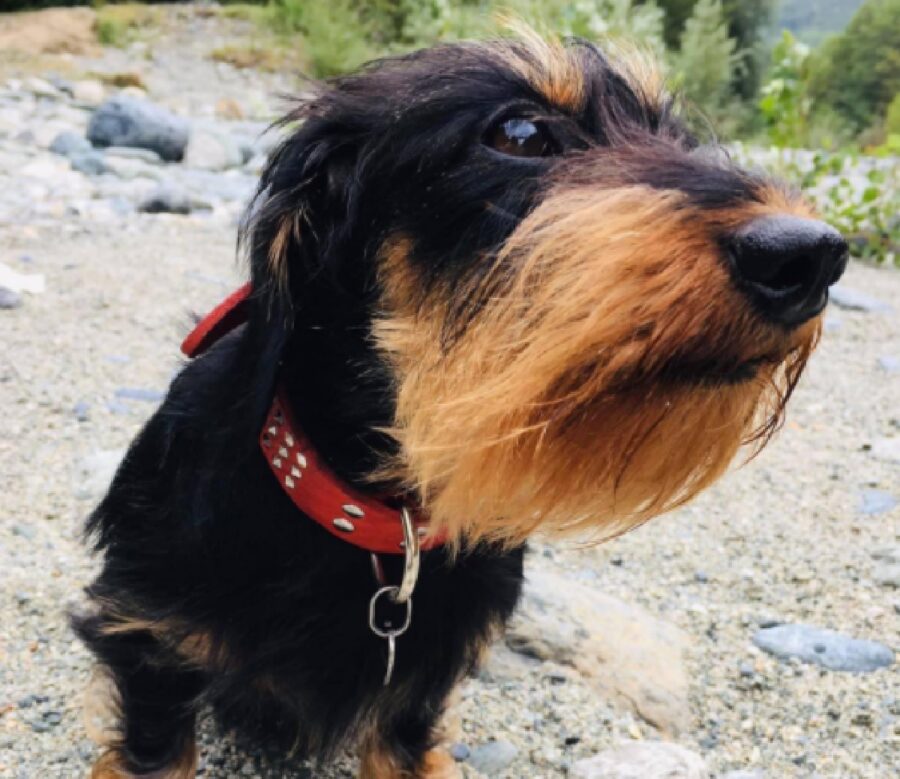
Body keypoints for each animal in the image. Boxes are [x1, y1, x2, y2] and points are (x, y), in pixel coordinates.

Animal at [74, 30, 848, 779]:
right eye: (521, 134)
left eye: (679, 136)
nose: (812, 257)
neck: (379, 528)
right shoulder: (148, 644)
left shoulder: (419, 692)